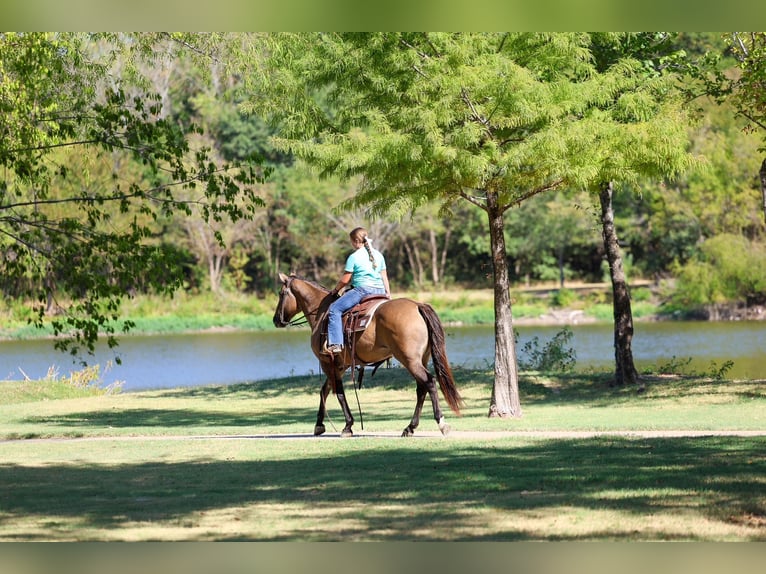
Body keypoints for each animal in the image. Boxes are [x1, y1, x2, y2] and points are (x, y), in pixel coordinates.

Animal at [273, 273, 464, 437]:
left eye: (281, 294)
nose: (276, 320)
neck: (321, 313)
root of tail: (417, 305)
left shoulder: (328, 362)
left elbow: (338, 392)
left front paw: (347, 426)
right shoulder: (339, 365)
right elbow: (325, 390)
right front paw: (319, 425)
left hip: (410, 360)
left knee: (429, 383)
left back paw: (441, 423)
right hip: (420, 359)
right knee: (421, 388)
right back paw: (410, 427)